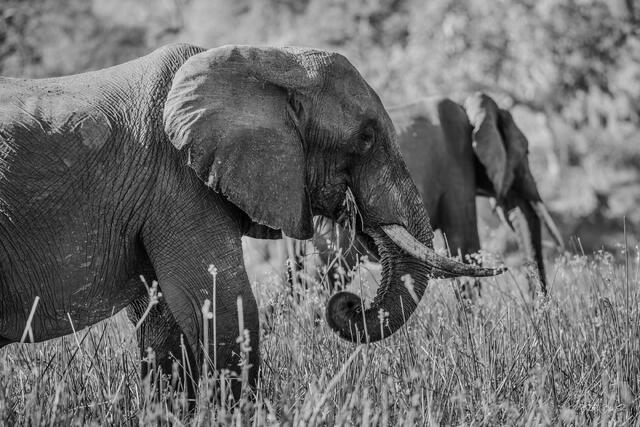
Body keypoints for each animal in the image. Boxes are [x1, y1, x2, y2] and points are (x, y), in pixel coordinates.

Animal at [0, 44, 501, 400]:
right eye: (365, 138)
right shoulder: (177, 185)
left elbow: (163, 324)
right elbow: (224, 306)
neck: (271, 65)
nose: (348, 304)